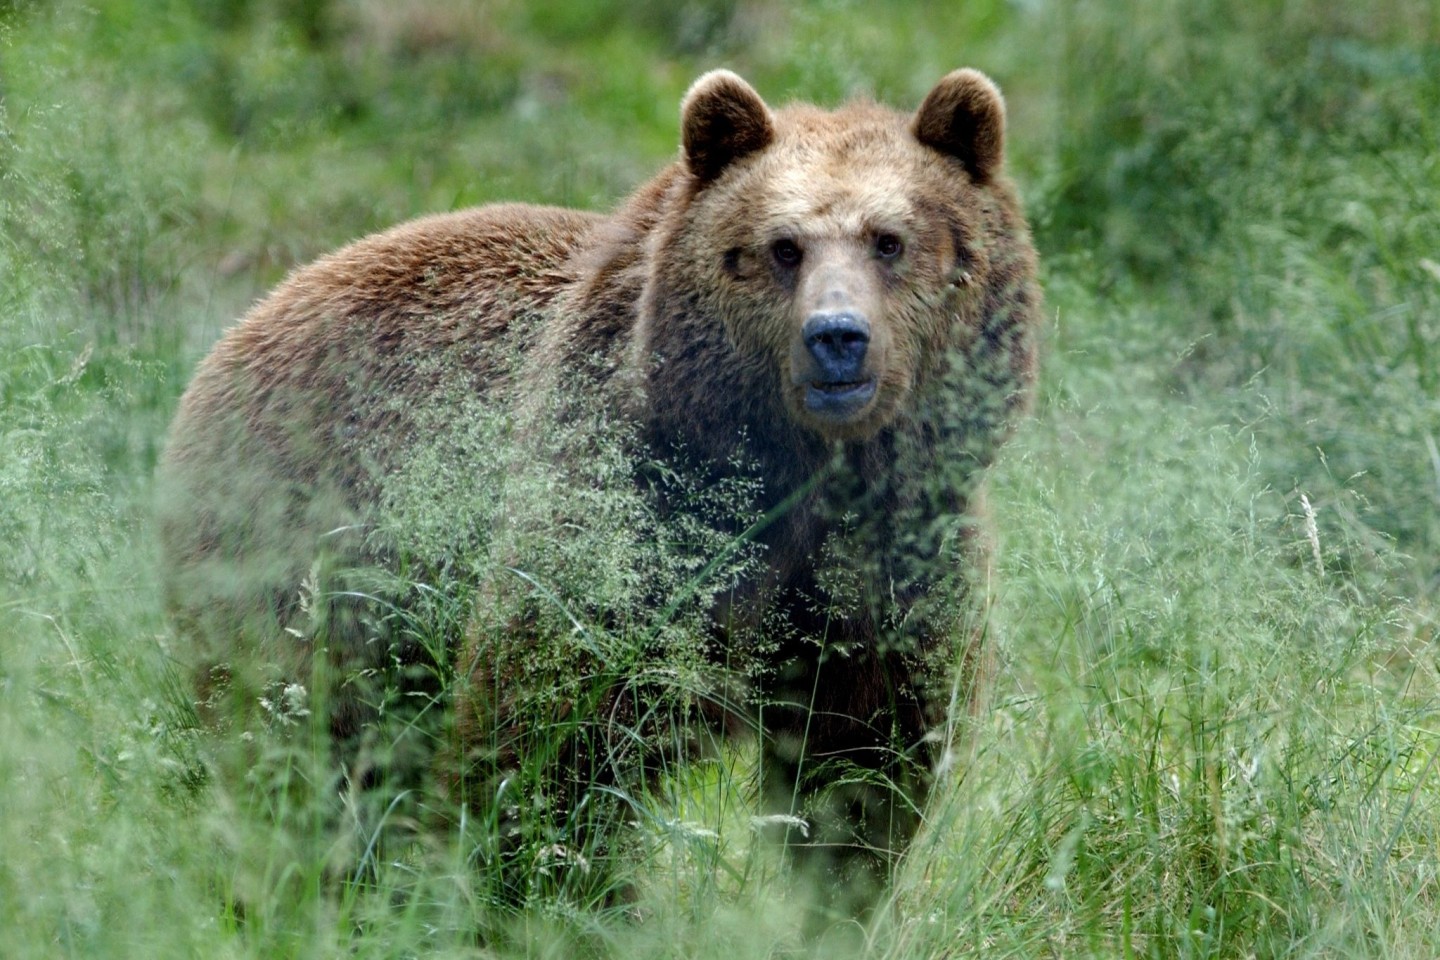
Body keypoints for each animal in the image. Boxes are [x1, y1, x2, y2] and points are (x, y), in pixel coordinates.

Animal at [154, 69, 1036, 915]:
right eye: (782, 247)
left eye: (890, 240)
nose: (836, 339)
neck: (794, 479)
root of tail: (245, 323)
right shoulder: (630, 518)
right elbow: (554, 741)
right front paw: (556, 900)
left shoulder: (891, 561)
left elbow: (863, 766)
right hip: (307, 552)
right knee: (300, 741)